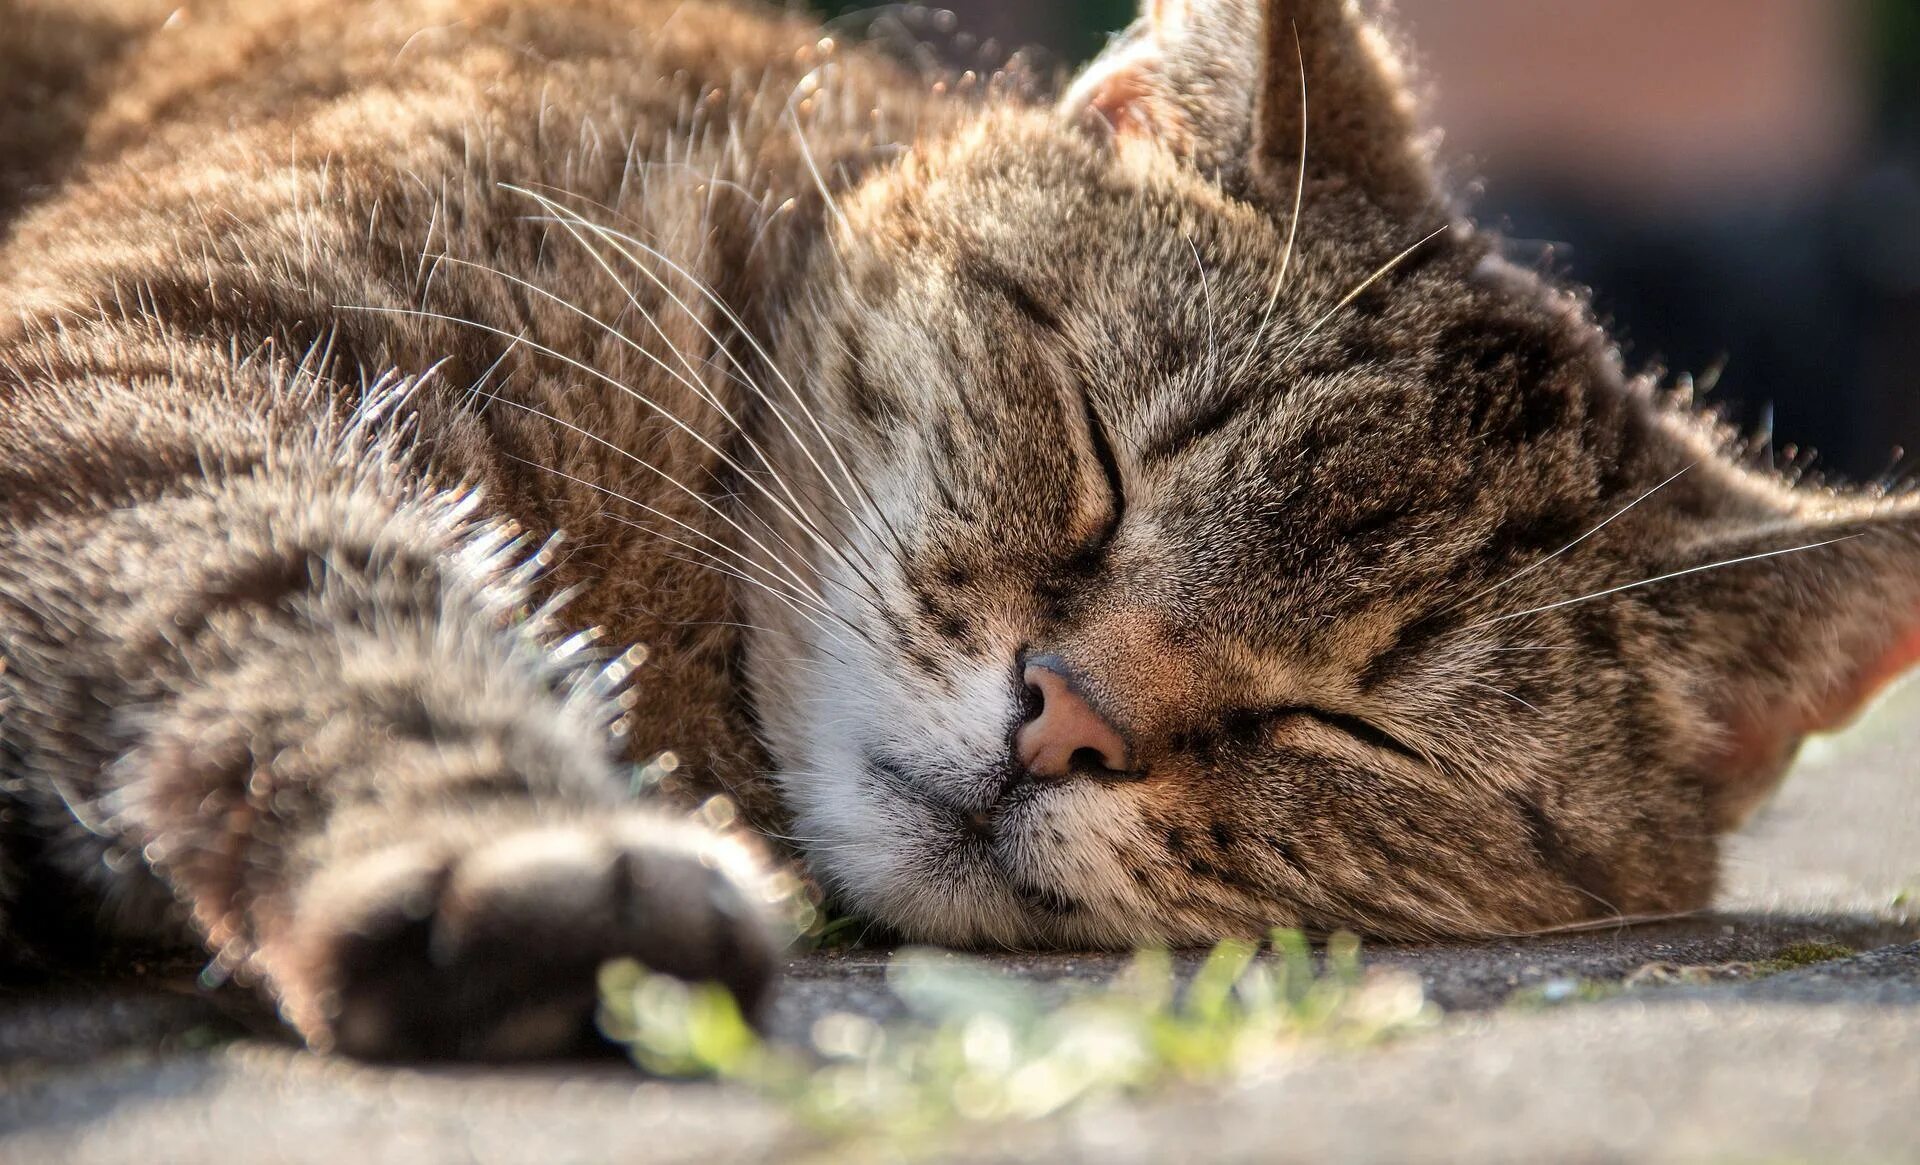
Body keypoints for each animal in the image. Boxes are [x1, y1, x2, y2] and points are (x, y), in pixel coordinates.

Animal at [3, 0, 1920, 1059]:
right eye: (1099, 455)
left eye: (1347, 722)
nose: (1062, 717)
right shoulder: (133, 358)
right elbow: (286, 595)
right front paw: (502, 843)